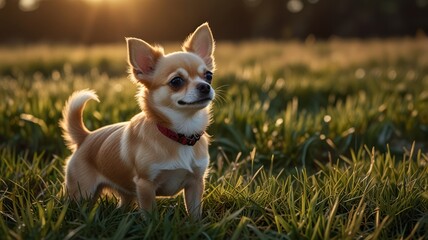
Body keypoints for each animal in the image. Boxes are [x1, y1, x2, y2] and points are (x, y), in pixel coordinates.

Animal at [60, 23, 216, 218]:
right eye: (176, 81)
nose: (205, 87)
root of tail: (85, 137)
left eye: (209, 76)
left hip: (126, 194)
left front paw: (196, 224)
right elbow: (150, 215)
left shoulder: (196, 182)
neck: (180, 133)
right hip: (82, 193)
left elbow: (195, 213)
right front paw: (153, 223)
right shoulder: (145, 185)